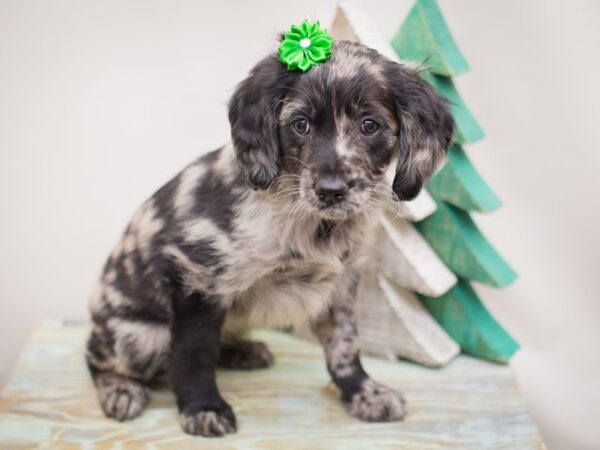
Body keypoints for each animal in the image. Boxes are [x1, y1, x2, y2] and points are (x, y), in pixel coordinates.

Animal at [85, 39, 454, 436]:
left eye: (370, 125)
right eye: (300, 124)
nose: (331, 191)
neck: (313, 223)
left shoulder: (340, 285)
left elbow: (344, 346)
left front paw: (363, 392)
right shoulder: (197, 277)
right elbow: (194, 352)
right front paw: (203, 407)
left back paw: (241, 351)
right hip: (137, 337)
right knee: (97, 357)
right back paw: (121, 388)